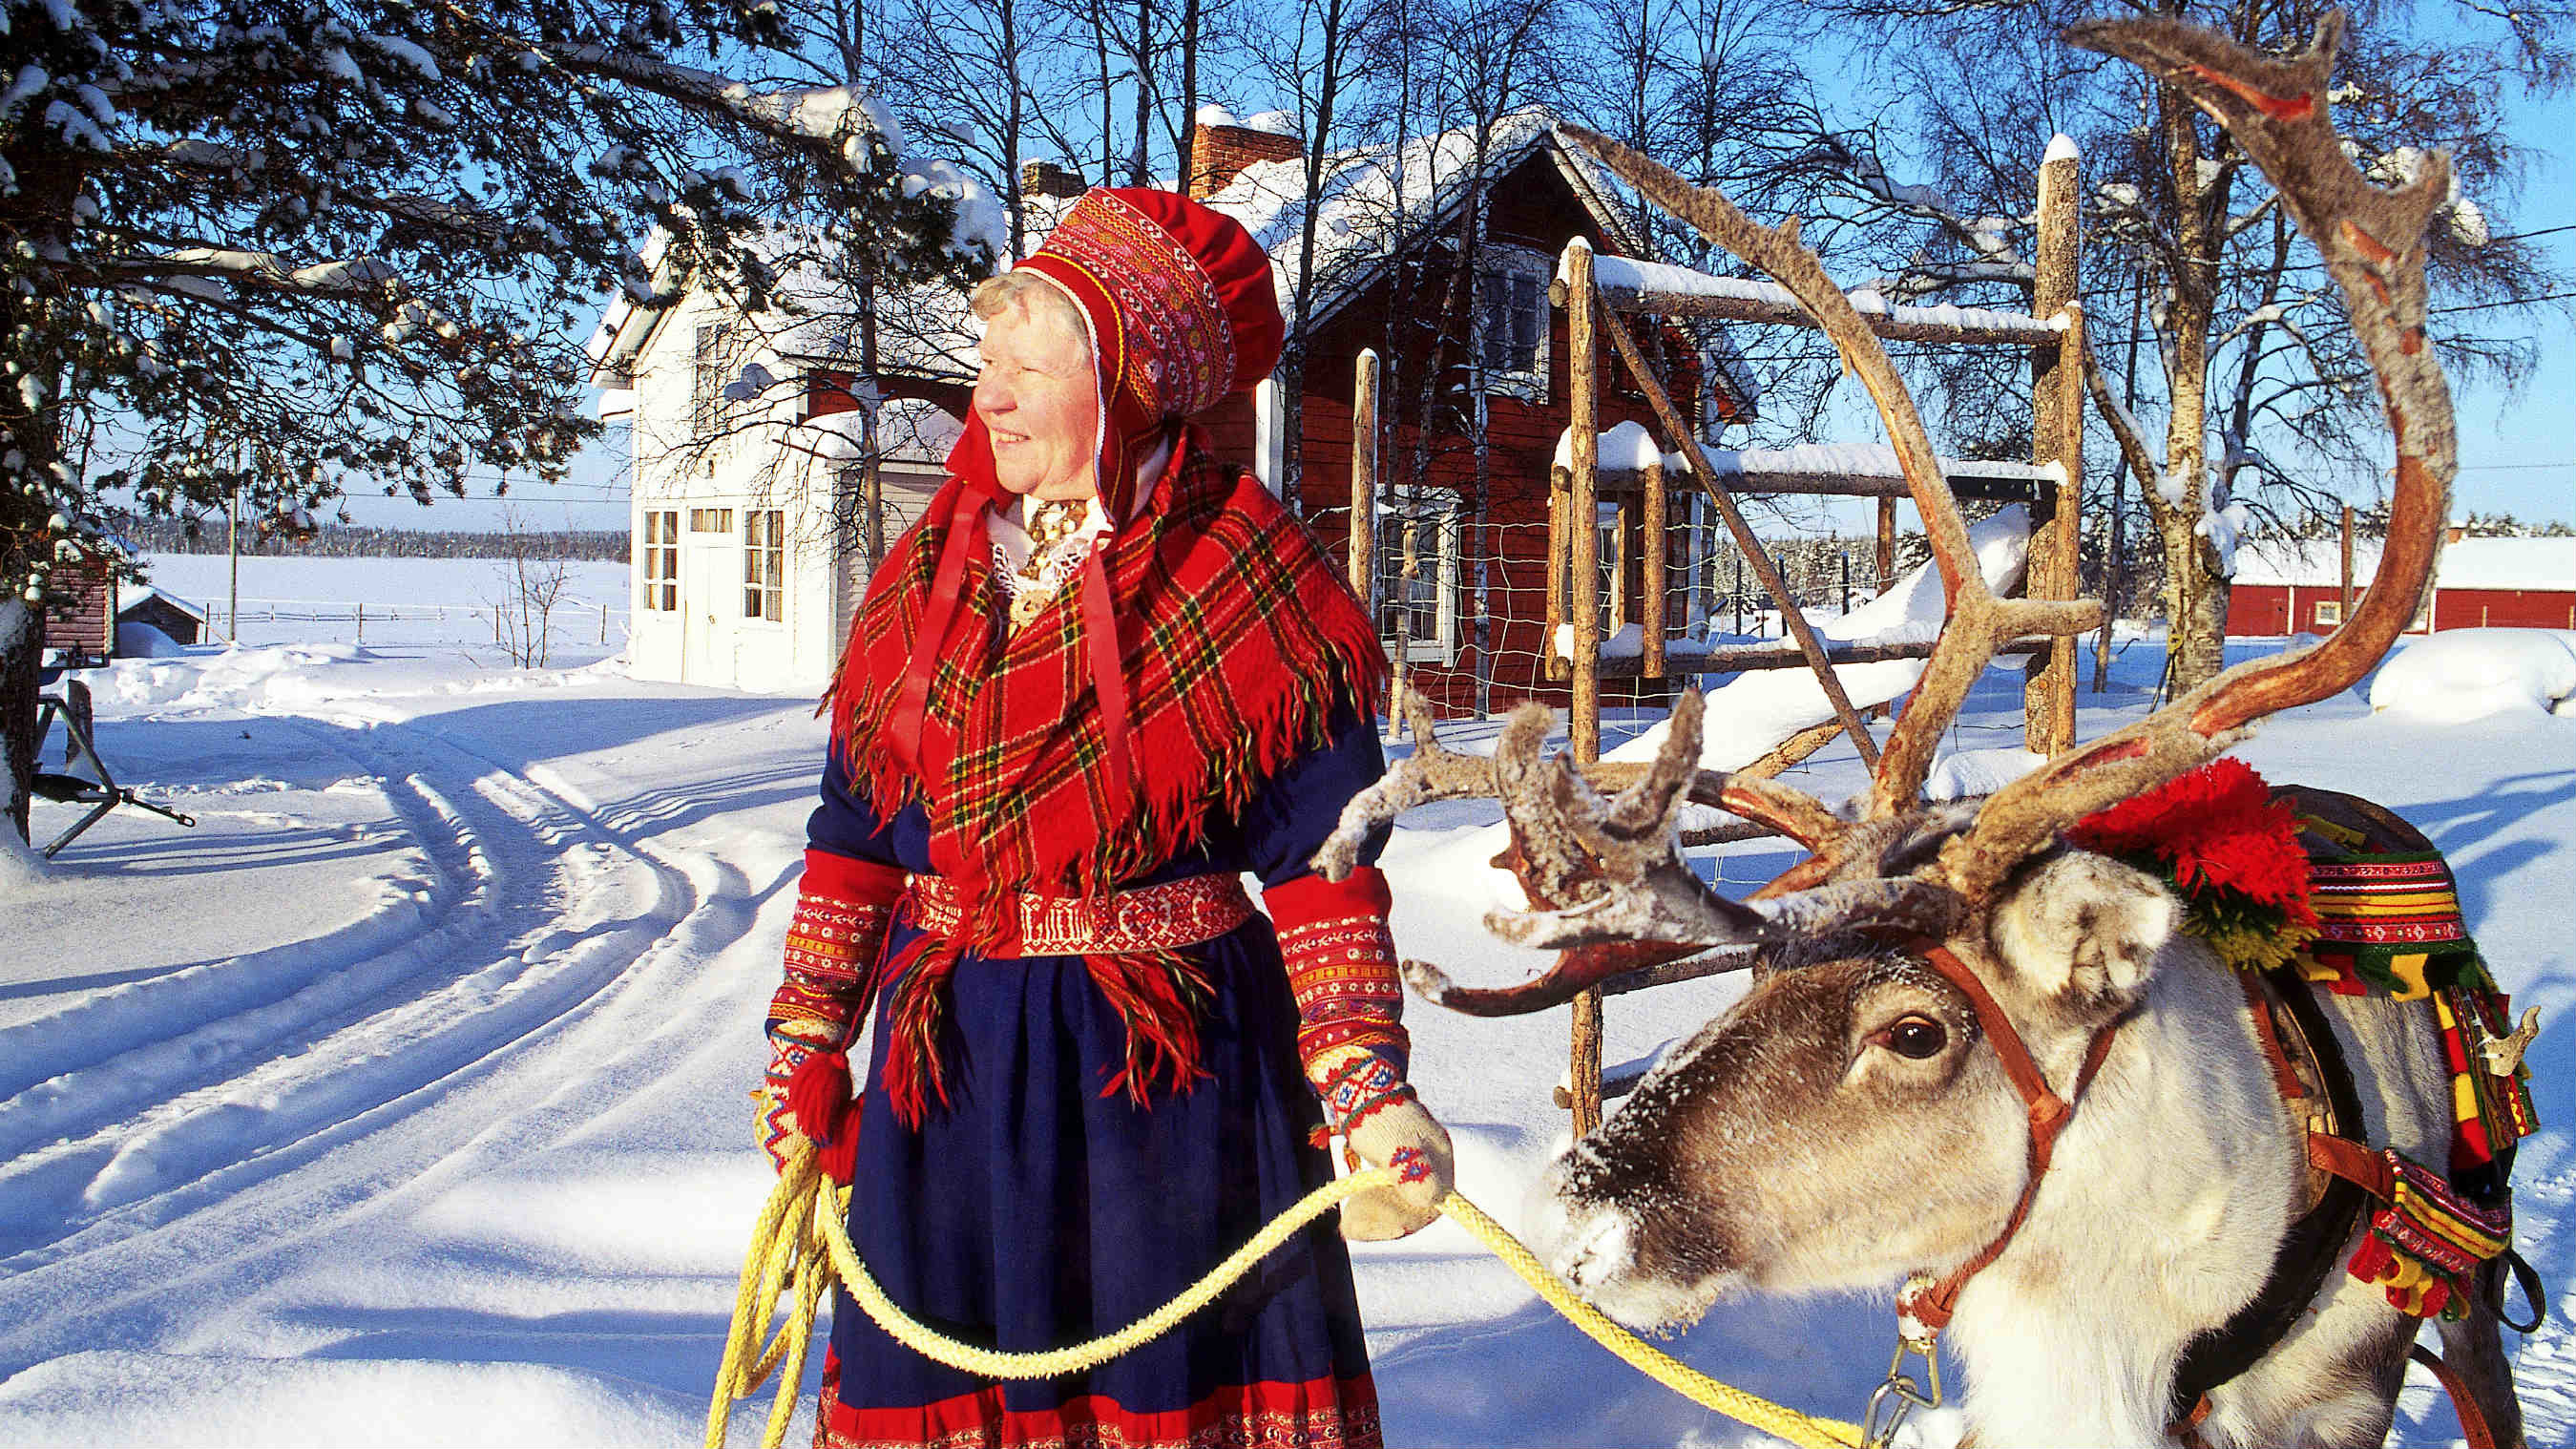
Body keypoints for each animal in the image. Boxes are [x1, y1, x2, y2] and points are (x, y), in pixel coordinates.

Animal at [1308, 14, 2532, 1448]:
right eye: (1749, 980)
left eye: (1912, 1032)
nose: (1576, 1210)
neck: (2131, 1331)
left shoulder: (2337, 1395)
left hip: (2471, 1288)